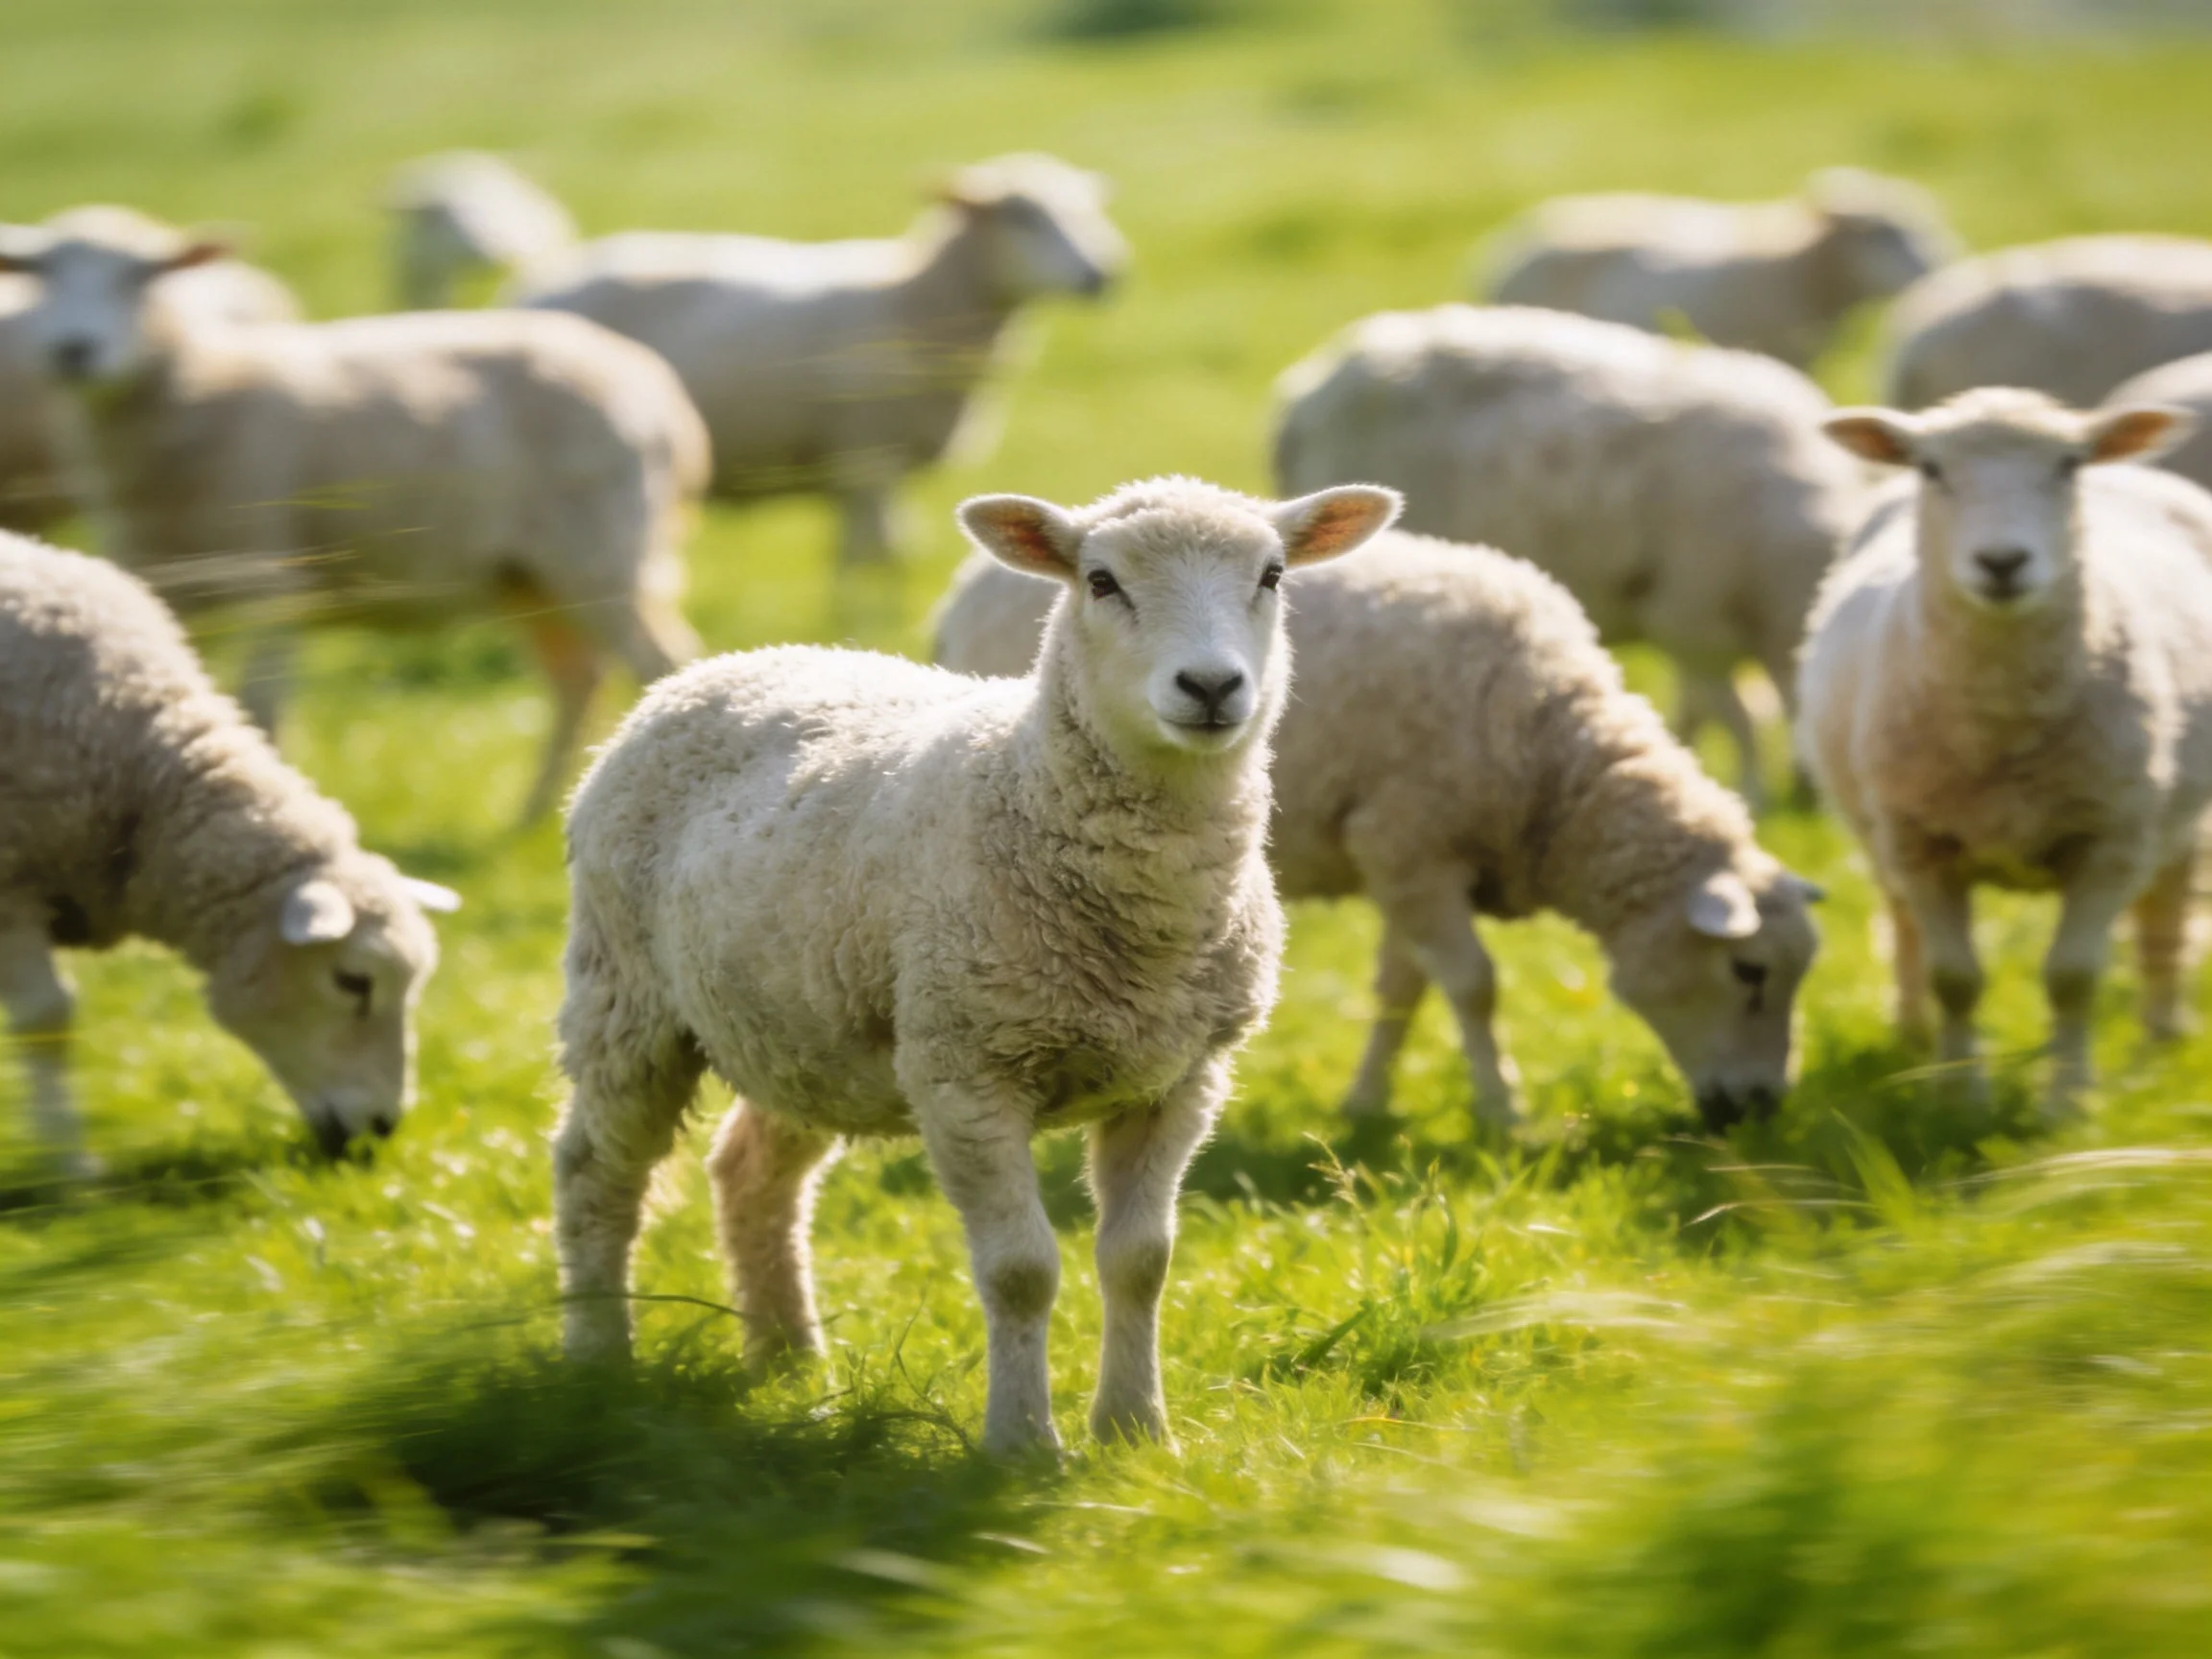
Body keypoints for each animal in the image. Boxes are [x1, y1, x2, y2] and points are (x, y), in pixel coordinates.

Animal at [513, 154, 1129, 567]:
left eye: (1086, 210)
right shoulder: (865, 457)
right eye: (1020, 217)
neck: (914, 297)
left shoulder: (877, 469)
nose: (1103, 274)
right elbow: (869, 557)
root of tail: (538, 286)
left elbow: (889, 551)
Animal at [553, 476, 1400, 1455]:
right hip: (627, 994)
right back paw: (598, 1365)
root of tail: (724, 666)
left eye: (1271, 576)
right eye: (1101, 581)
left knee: (752, 1174)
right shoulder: (966, 1068)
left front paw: (1136, 1431)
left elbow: (1141, 1261)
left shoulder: (1181, 1078)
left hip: (801, 1028)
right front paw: (1022, 1445)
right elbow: (1021, 1270)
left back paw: (791, 1363)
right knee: (594, 1173)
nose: (1212, 685)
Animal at [935, 533, 1823, 1130]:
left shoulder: (1412, 865)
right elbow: (1472, 983)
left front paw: (1366, 1103)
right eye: (1748, 972)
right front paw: (1505, 1112)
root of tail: (962, 590)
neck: (1551, 751)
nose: (1758, 1108)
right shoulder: (1409, 840)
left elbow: (1405, 986)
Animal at [1272, 304, 1866, 810]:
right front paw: (1753, 790)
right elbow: (1737, 716)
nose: (1811, 795)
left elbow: (1703, 708)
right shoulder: (1690, 615)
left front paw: (1685, 750)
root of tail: (1306, 395)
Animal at [1801, 388, 2212, 1114]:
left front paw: (2067, 1100)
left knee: (2166, 918)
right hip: (1878, 833)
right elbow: (1954, 978)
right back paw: (1910, 1036)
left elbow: (2073, 977)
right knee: (1902, 925)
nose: (2001, 563)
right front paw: (1959, 1096)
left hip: (2179, 819)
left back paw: (2161, 1037)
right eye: (1931, 469)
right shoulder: (1920, 843)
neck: (2001, 721)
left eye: (2069, 466)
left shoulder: (2112, 840)